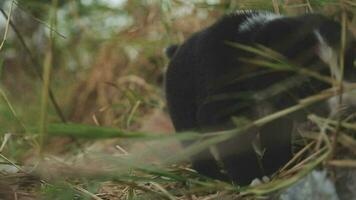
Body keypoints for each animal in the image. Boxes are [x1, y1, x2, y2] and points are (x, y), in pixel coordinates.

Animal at [165, 10, 356, 185]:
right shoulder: (219, 110)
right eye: (308, 83)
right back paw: (214, 176)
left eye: (351, 69)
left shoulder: (277, 111)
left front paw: (278, 167)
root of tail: (175, 50)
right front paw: (252, 179)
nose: (350, 107)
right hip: (183, 113)